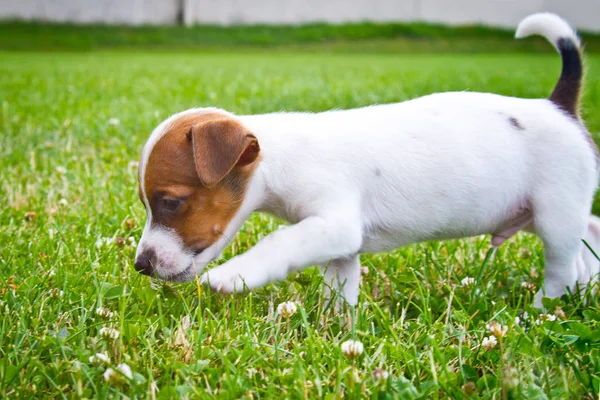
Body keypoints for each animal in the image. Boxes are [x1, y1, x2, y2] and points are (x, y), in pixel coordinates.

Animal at [137, 12, 600, 306]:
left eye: (172, 202)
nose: (141, 265)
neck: (281, 157)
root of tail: (557, 106)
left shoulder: (334, 223)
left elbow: (279, 241)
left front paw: (235, 275)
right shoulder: (343, 245)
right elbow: (339, 288)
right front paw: (333, 328)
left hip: (554, 213)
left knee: (561, 267)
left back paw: (540, 311)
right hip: (542, 213)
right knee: (588, 235)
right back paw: (585, 288)